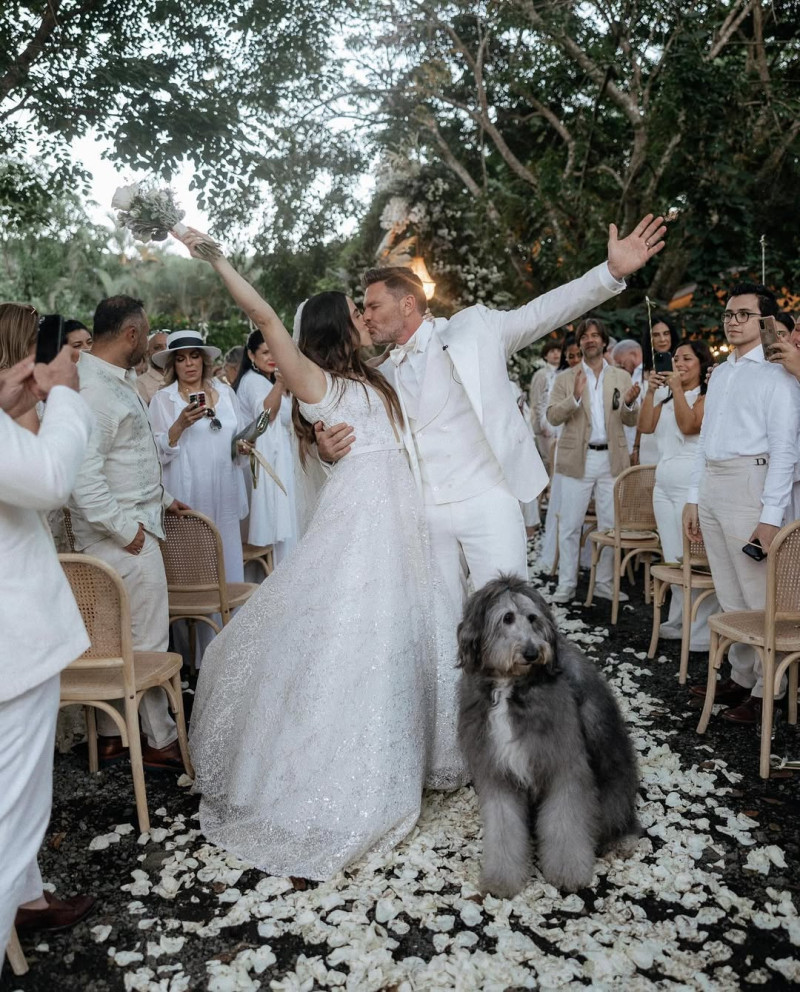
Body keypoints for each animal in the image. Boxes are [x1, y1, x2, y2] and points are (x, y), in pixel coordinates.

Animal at [460, 572, 640, 900]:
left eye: (532, 618)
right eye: (507, 617)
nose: (532, 653)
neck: (510, 687)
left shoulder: (565, 766)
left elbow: (565, 824)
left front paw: (568, 873)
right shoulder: (498, 773)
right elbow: (504, 827)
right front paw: (502, 879)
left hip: (613, 777)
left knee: (618, 815)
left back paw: (623, 840)